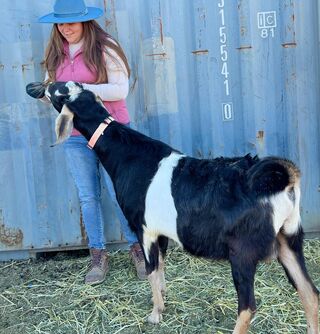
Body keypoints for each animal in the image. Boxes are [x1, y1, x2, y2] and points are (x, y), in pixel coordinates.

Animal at [26, 81, 318, 334]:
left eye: (60, 93)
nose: (40, 87)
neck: (127, 156)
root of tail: (284, 179)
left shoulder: (143, 229)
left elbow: (151, 269)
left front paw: (155, 314)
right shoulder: (161, 232)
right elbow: (162, 267)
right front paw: (163, 297)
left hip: (243, 253)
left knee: (248, 307)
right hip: (289, 238)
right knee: (310, 293)